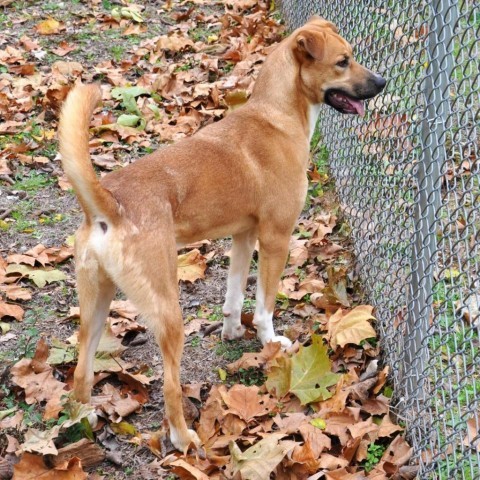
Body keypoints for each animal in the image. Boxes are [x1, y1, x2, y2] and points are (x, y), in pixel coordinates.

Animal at [57, 15, 386, 450]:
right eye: (342, 61)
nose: (383, 82)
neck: (276, 114)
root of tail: (108, 205)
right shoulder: (276, 238)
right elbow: (264, 305)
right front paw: (270, 343)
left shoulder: (243, 237)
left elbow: (233, 295)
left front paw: (231, 330)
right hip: (168, 312)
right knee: (170, 387)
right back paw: (183, 439)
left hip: (96, 305)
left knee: (81, 371)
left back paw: (85, 420)